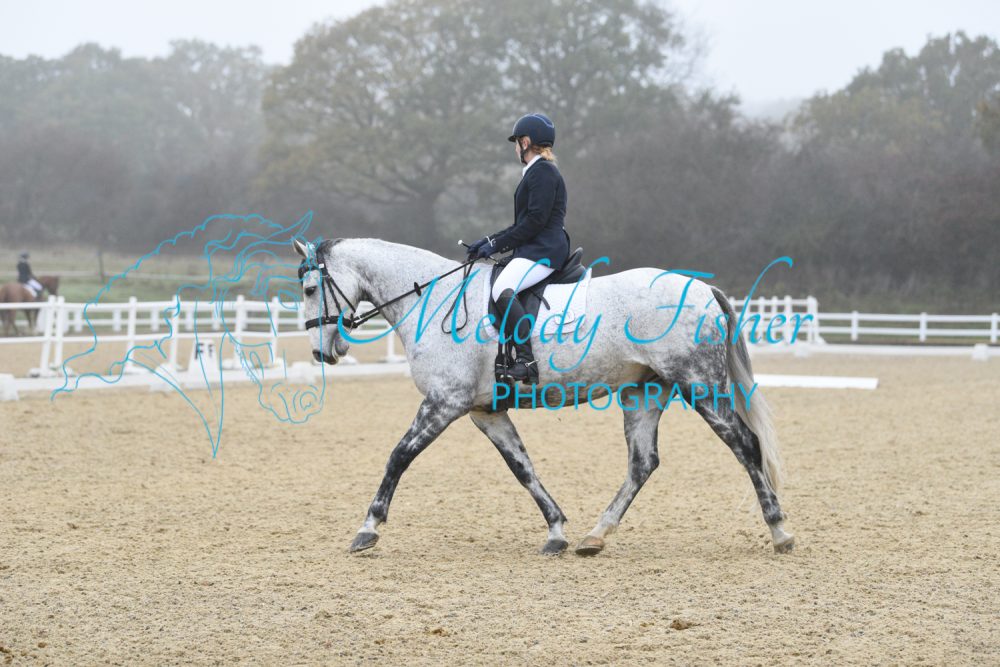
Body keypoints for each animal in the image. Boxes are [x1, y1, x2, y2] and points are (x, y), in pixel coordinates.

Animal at [292, 236, 795, 557]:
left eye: (310, 288)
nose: (322, 352)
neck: (431, 300)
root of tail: (702, 288)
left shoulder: (444, 403)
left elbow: (398, 456)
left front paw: (368, 528)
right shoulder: (484, 411)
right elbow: (523, 468)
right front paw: (556, 532)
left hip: (699, 384)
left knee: (744, 444)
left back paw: (779, 530)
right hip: (645, 390)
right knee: (642, 463)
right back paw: (596, 535)